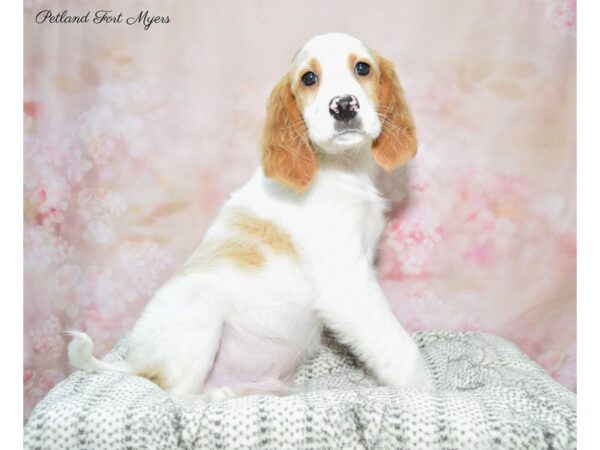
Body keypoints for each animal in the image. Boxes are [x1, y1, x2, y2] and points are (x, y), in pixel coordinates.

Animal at [69, 34, 432, 400]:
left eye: (362, 68)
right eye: (309, 78)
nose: (343, 106)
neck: (339, 167)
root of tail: (136, 362)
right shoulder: (348, 282)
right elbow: (398, 346)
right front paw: (424, 389)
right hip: (199, 312)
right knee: (175, 394)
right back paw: (215, 395)